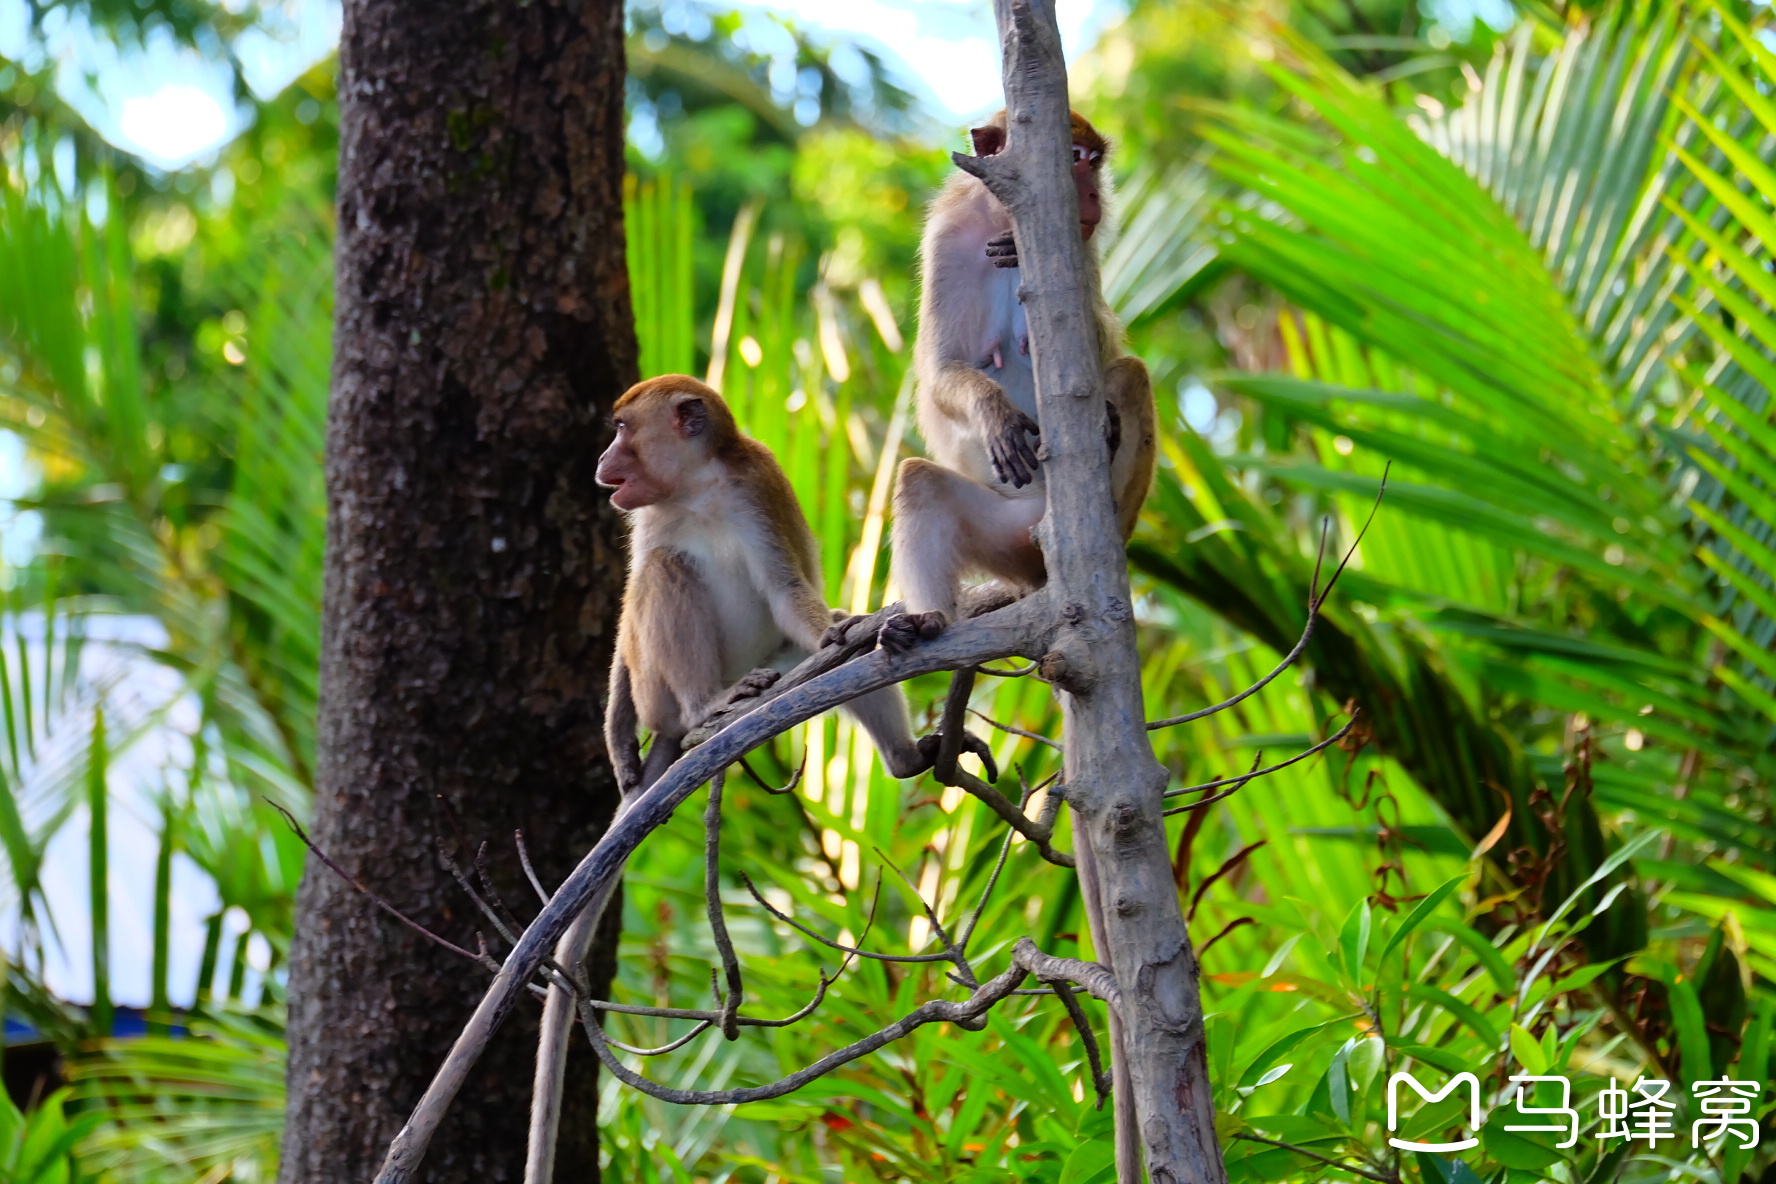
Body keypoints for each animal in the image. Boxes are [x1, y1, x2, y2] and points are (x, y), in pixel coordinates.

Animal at [525, 374, 1001, 1178]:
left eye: (621, 429)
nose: (601, 464)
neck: (693, 489)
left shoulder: (751, 492)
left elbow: (790, 593)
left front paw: (857, 626)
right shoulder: (647, 517)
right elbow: (633, 593)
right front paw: (614, 732)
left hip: (778, 658)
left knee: (832, 653)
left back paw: (895, 744)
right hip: (665, 688)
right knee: (665, 574)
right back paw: (702, 712)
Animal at [880, 106, 1157, 653]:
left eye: (1094, 162)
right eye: (1072, 157)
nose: (1092, 196)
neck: (1005, 219)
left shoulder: (1078, 248)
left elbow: (1108, 348)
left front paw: (1107, 413)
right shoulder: (946, 242)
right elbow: (943, 368)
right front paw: (995, 413)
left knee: (1132, 375)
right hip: (1005, 536)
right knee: (919, 481)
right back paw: (927, 622)